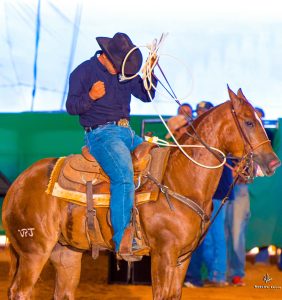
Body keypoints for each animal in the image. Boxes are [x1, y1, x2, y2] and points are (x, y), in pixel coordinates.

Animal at [1, 87, 280, 300]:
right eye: (248, 122)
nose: (273, 162)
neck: (179, 179)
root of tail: (18, 184)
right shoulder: (163, 255)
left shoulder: (182, 259)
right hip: (34, 252)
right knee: (20, 291)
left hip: (66, 253)